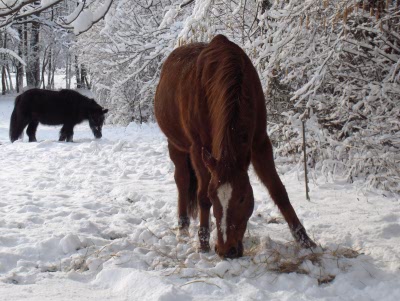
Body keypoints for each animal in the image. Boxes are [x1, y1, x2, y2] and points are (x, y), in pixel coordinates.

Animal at [153, 34, 316, 256]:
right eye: (214, 197)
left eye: (242, 198)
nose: (226, 250)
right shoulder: (198, 149)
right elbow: (201, 196)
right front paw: (203, 241)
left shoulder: (260, 143)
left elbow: (277, 190)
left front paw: (304, 239)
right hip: (176, 145)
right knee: (183, 180)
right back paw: (183, 227)